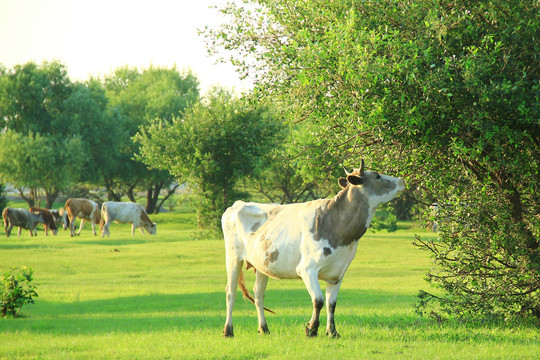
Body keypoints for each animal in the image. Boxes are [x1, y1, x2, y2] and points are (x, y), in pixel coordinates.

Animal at [220, 160, 404, 338]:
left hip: (262, 263)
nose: (402, 180)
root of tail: (237, 204)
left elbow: (331, 304)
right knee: (230, 293)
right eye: (377, 175)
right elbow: (319, 300)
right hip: (233, 257)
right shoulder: (307, 269)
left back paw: (264, 329)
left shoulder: (338, 272)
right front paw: (312, 329)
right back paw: (228, 331)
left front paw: (332, 332)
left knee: (258, 295)